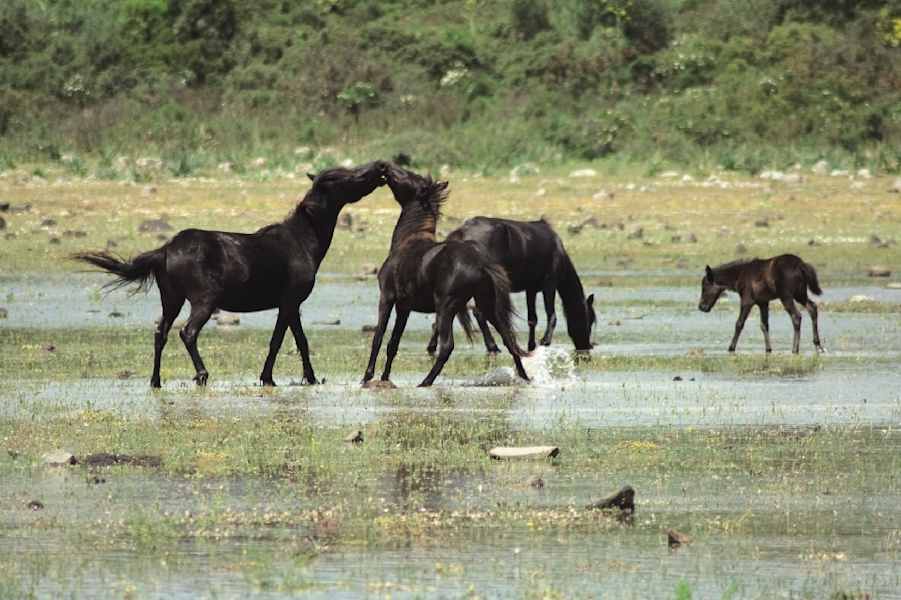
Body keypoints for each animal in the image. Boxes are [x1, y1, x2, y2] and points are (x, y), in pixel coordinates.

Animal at [74, 161, 389, 388]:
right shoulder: (289, 302)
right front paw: (276, 378)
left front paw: (302, 378)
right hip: (204, 300)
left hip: (171, 299)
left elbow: (295, 340)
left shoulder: (290, 305)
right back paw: (201, 375)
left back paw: (156, 381)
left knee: (160, 333)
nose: (380, 169)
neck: (302, 239)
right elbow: (284, 340)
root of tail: (166, 249)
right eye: (345, 176)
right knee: (187, 333)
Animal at [362, 164, 529, 387]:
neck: (406, 241)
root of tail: (481, 264)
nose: (385, 167)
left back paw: (425, 382)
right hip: (487, 304)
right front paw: (385, 378)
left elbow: (378, 337)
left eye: (410, 176)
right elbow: (393, 344)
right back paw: (525, 377)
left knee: (447, 345)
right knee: (508, 339)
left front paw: (366, 377)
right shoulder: (404, 307)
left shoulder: (387, 298)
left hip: (446, 307)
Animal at [425, 217, 596, 355]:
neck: (559, 253)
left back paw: (432, 346)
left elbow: (532, 318)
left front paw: (531, 345)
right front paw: (545, 341)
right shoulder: (550, 283)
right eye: (590, 320)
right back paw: (492, 346)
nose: (586, 346)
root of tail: (460, 233)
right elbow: (551, 315)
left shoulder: (531, 289)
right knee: (478, 312)